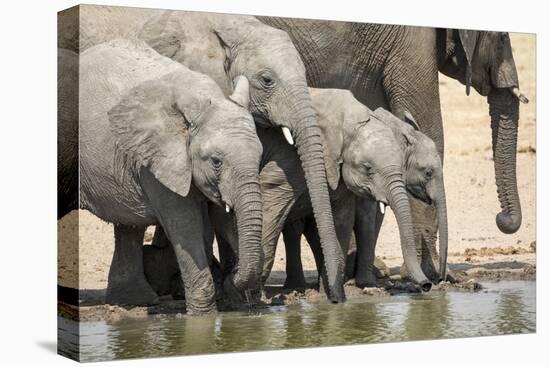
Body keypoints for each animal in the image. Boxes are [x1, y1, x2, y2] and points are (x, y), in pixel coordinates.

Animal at [77, 38, 266, 316]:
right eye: (216, 161)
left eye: (260, 157)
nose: (233, 276)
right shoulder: (158, 158)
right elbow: (184, 223)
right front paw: (202, 316)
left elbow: (219, 218)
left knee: (129, 227)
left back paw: (134, 301)